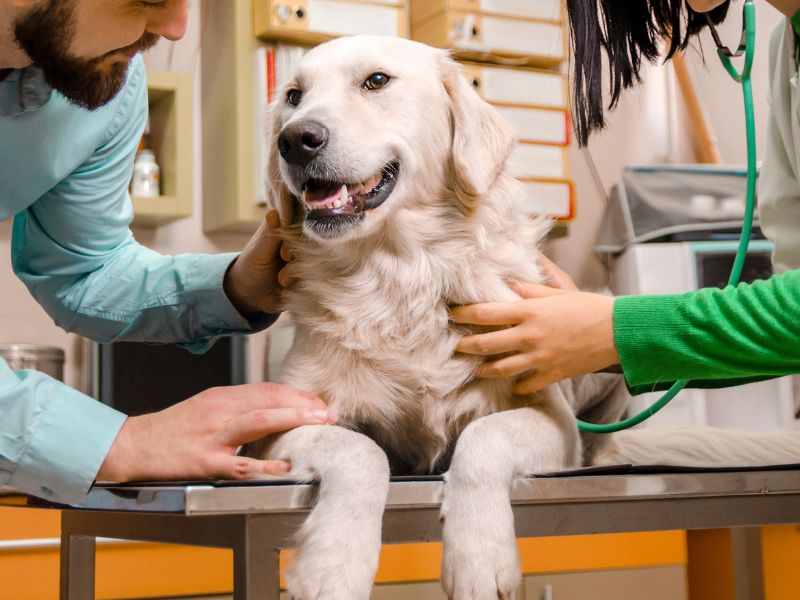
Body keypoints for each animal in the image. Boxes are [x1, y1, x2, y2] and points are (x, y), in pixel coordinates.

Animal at [247, 34, 800, 600]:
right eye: (293, 96)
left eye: (376, 81)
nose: (296, 139)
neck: (403, 276)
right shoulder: (278, 429)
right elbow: (360, 452)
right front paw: (332, 565)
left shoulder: (552, 419)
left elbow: (484, 438)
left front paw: (479, 558)